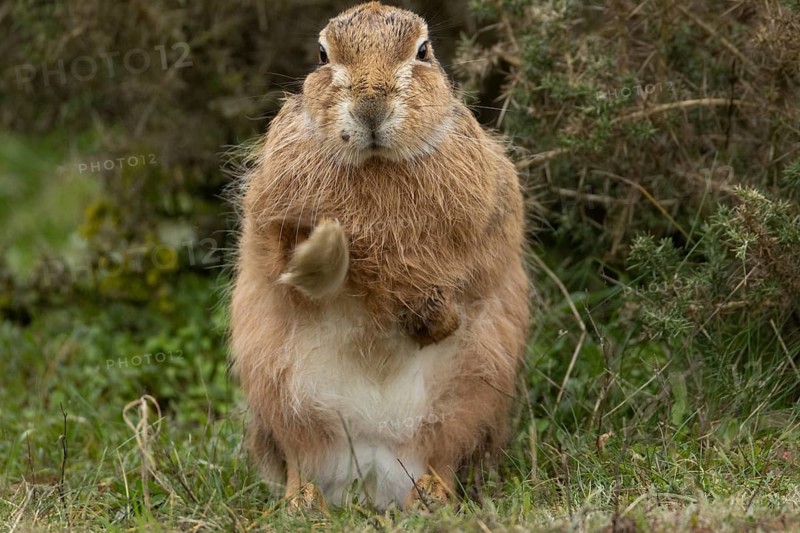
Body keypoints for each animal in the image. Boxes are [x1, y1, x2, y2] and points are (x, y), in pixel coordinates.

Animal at [230, 1, 530, 511]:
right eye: (322, 55)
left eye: (423, 51)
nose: (371, 108)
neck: (377, 162)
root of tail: (372, 464)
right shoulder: (269, 226)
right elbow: (282, 263)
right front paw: (327, 249)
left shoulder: (492, 226)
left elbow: (474, 275)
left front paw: (434, 319)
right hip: (278, 388)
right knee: (298, 455)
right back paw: (303, 501)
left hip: (475, 388)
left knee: (444, 451)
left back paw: (429, 497)